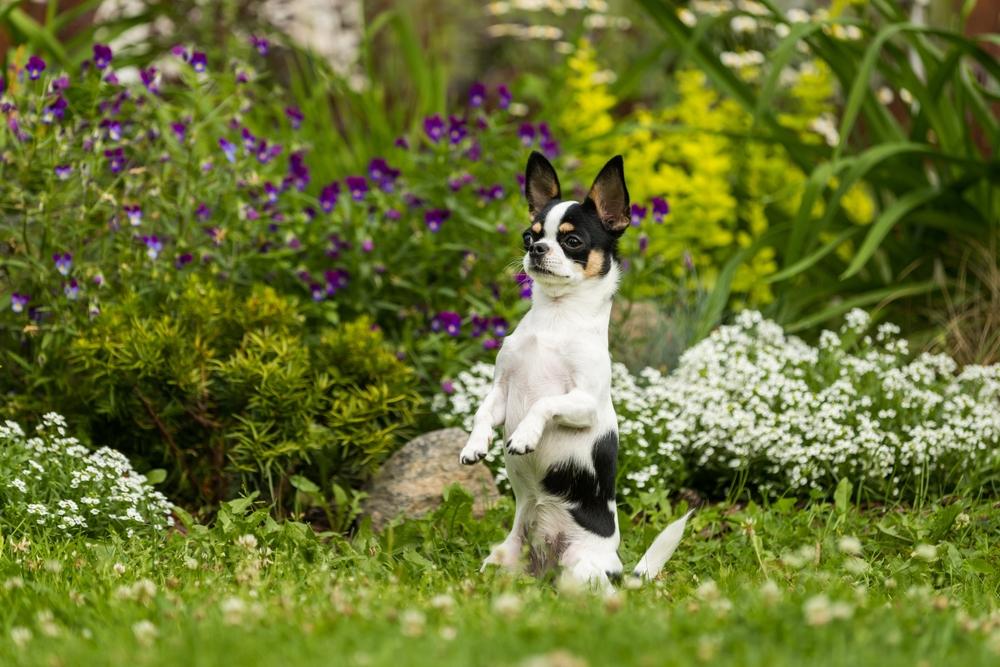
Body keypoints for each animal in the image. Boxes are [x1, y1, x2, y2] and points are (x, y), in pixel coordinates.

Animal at [458, 151, 688, 588]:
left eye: (572, 241)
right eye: (528, 236)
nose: (537, 249)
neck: (555, 318)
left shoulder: (583, 404)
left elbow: (544, 404)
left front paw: (524, 436)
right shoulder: (502, 391)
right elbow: (481, 413)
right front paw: (474, 445)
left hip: (580, 570)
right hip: (500, 560)